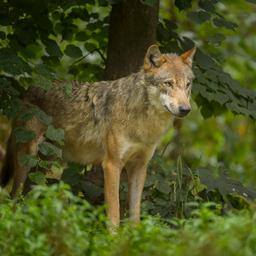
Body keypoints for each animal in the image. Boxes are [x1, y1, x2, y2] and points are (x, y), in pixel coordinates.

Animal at [0, 44, 196, 228]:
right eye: (168, 83)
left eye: (187, 85)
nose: (185, 109)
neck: (142, 120)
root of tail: (30, 89)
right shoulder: (112, 165)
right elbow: (115, 212)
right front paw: (114, 237)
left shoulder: (139, 167)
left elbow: (135, 213)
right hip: (28, 156)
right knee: (14, 196)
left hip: (45, 161)